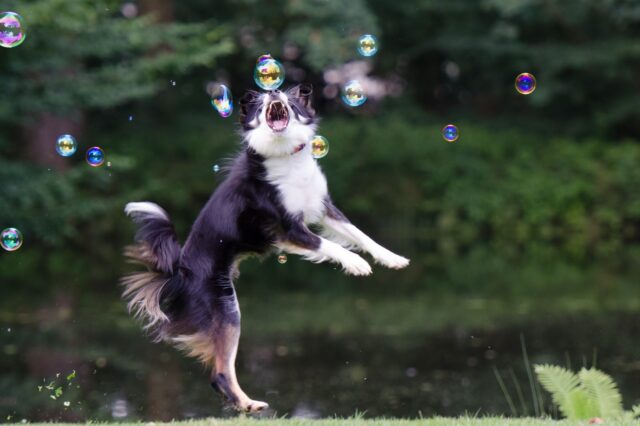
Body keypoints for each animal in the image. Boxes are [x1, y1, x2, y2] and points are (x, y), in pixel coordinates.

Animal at [120, 83, 410, 412]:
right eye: (259, 105)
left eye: (288, 99)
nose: (273, 92)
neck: (284, 154)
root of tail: (178, 271)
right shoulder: (287, 229)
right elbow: (328, 245)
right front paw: (356, 263)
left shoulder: (323, 208)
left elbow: (360, 235)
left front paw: (392, 258)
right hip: (226, 309)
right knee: (220, 373)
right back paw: (249, 404)